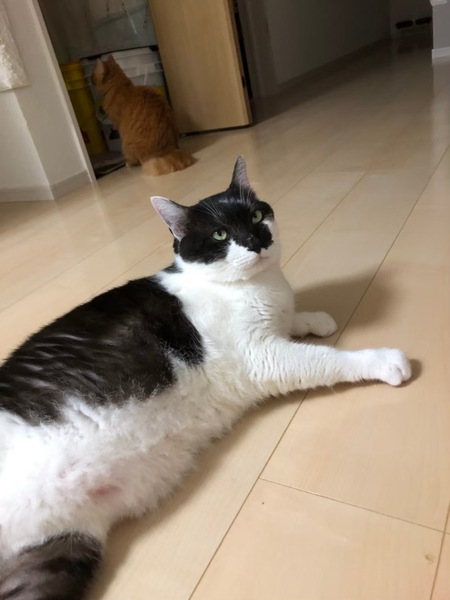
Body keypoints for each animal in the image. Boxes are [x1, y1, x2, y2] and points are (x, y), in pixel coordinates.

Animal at [0, 157, 411, 600]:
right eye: (220, 234)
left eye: (256, 216)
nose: (255, 240)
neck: (262, 287)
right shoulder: (263, 357)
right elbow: (325, 359)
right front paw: (383, 360)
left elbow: (292, 320)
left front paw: (314, 319)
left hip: (55, 558)